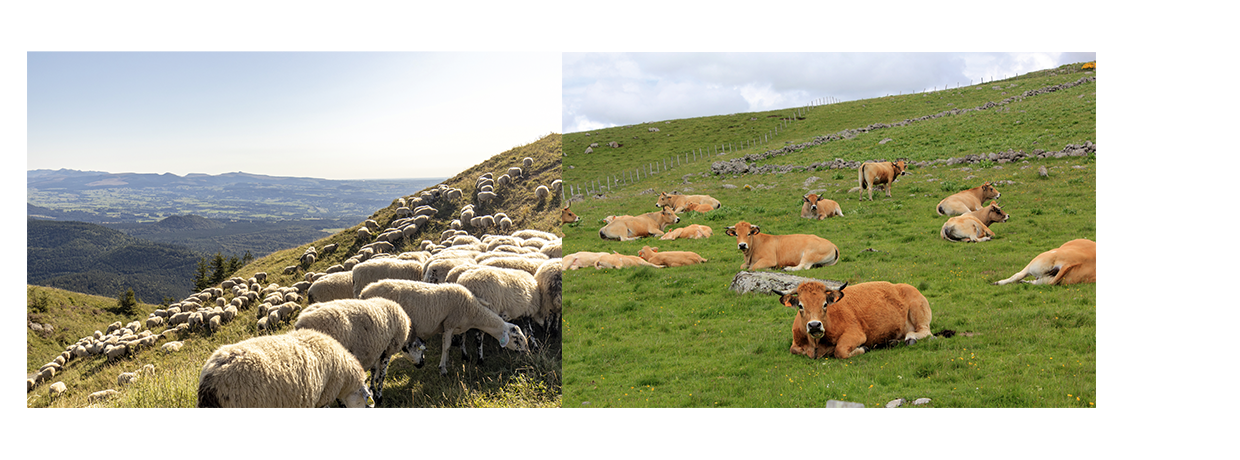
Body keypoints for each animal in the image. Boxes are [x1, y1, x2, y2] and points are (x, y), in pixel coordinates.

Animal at [362, 278, 530, 376]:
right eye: (517, 339)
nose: (526, 352)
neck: (473, 312)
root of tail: (364, 291)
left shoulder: (451, 328)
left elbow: (448, 346)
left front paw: (447, 361)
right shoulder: (449, 324)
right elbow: (447, 346)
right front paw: (443, 368)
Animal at [773, 281, 932, 359]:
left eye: (825, 304)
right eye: (800, 305)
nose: (814, 325)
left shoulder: (856, 334)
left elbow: (840, 351)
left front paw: (864, 348)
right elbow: (794, 350)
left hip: (918, 311)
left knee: (925, 332)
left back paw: (909, 338)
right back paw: (892, 342)